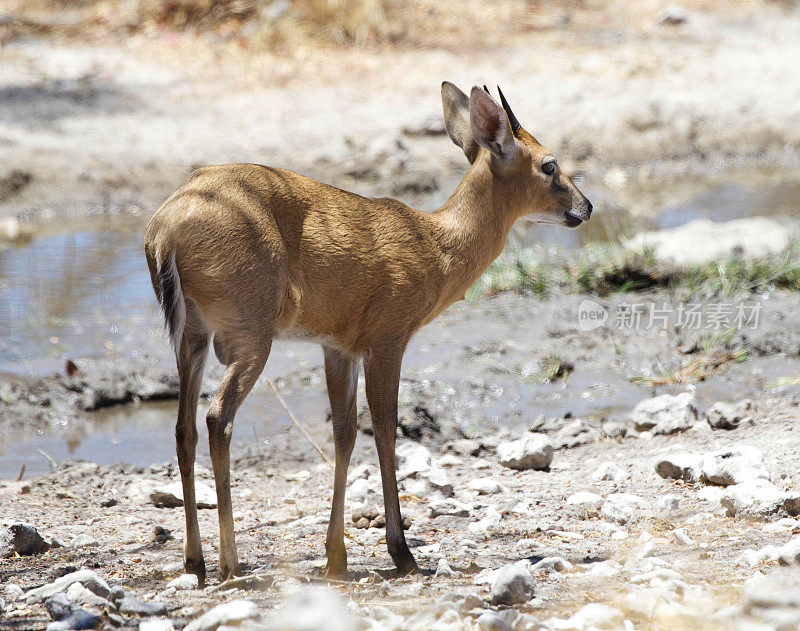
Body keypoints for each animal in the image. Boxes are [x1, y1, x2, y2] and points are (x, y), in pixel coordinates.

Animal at [144, 81, 592, 584]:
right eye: (549, 163)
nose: (585, 207)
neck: (435, 244)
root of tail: (166, 227)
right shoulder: (388, 341)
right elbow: (385, 431)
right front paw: (401, 552)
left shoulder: (338, 348)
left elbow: (344, 434)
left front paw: (336, 557)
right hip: (250, 339)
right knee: (218, 417)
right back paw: (230, 564)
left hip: (193, 339)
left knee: (183, 428)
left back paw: (195, 562)